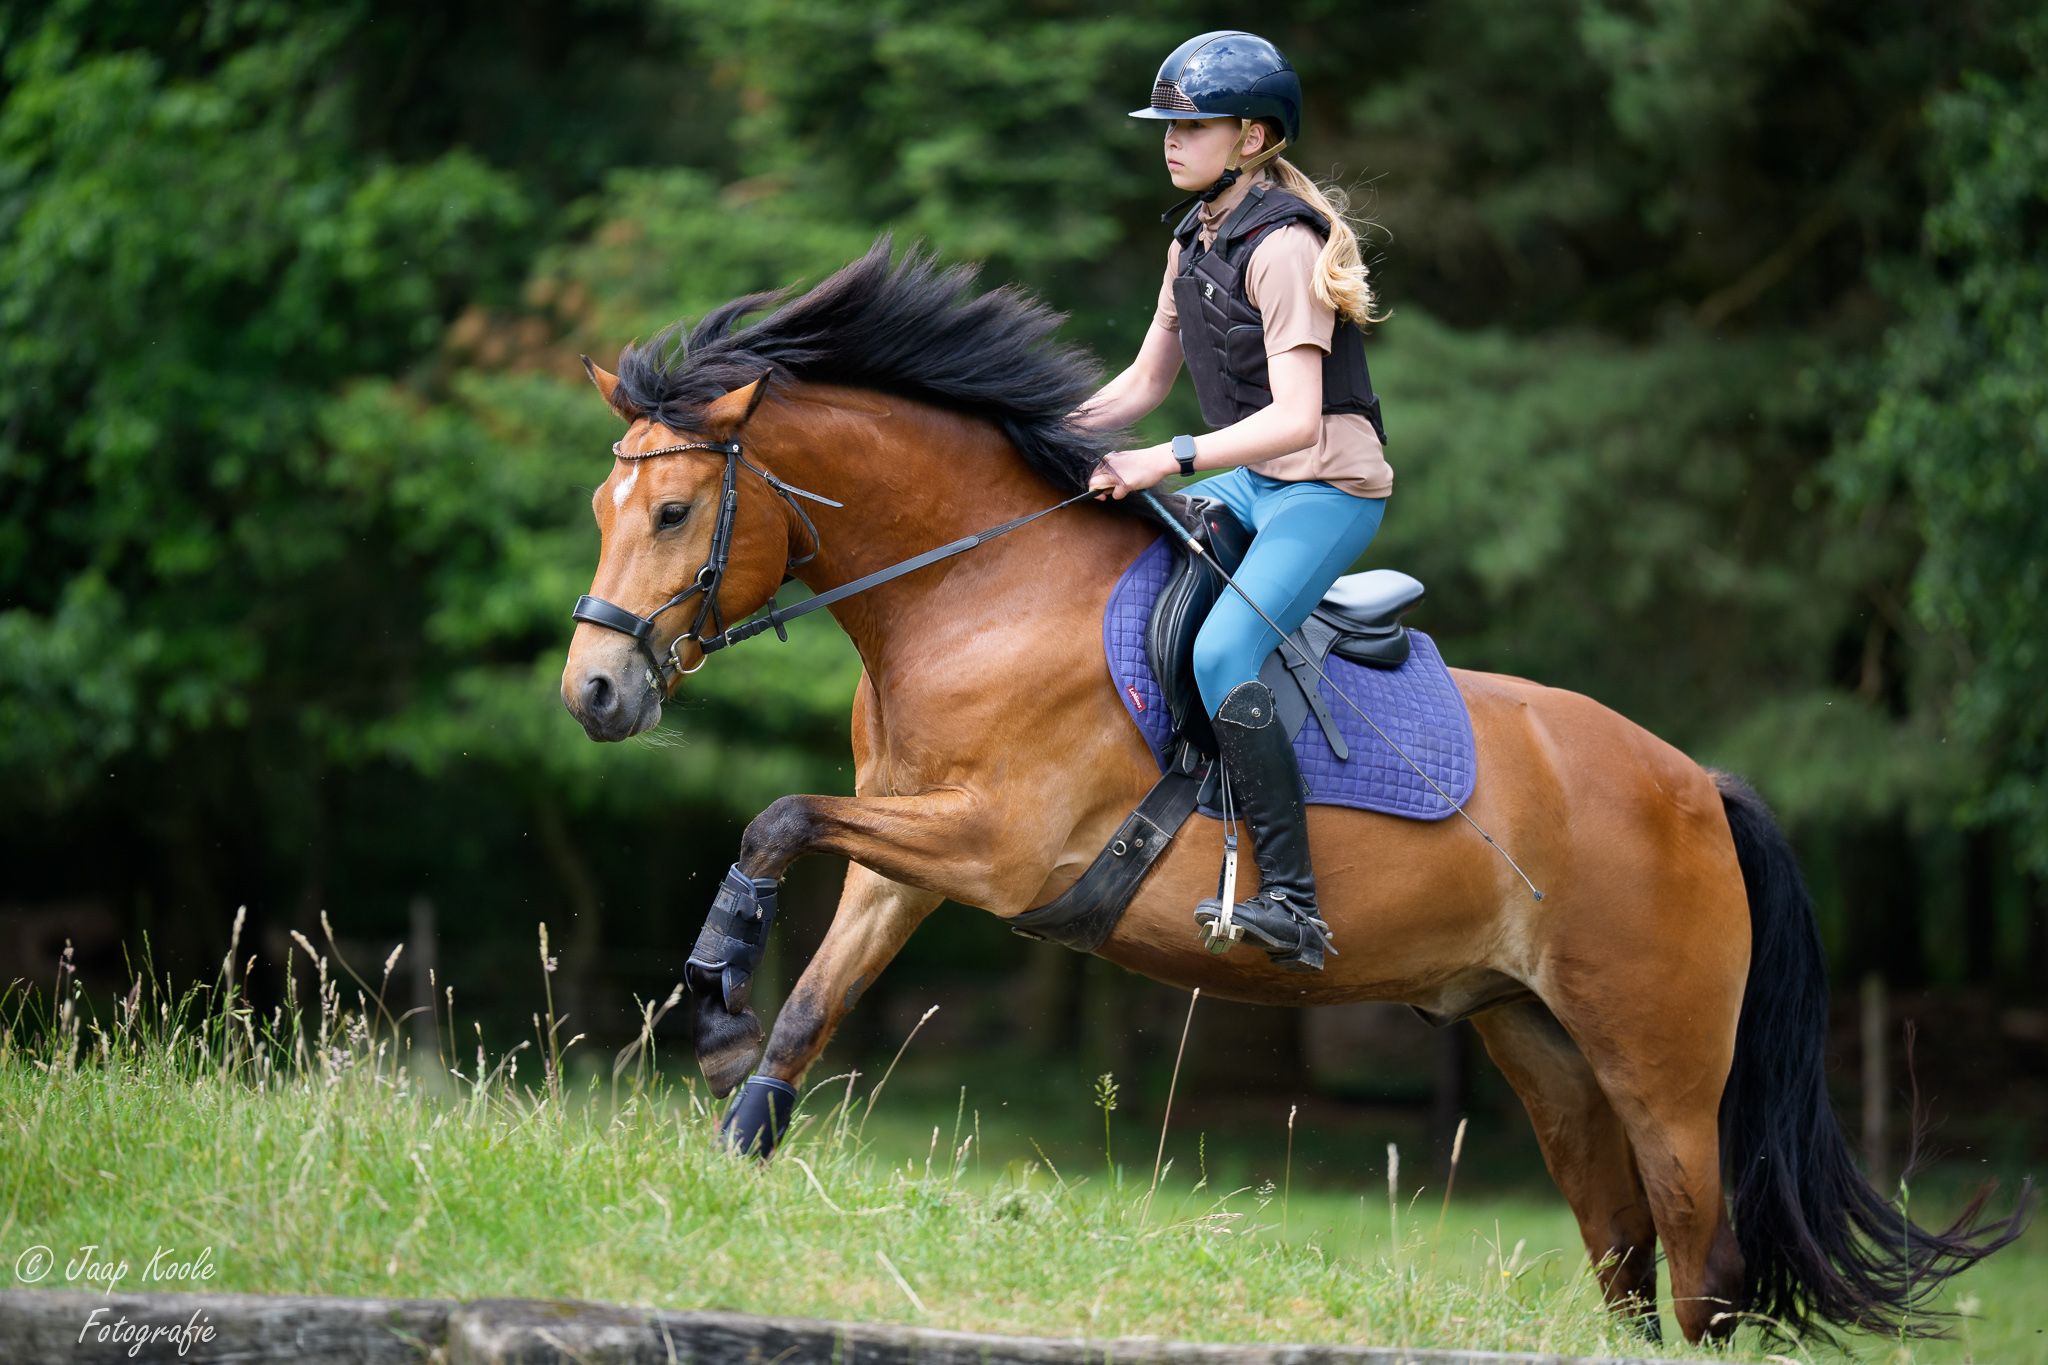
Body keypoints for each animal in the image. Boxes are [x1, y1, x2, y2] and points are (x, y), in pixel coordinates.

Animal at [558, 240, 2024, 1345]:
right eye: (598, 508)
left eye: (676, 514)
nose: (594, 695)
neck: (978, 589)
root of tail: (1698, 785)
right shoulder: (910, 857)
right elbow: (812, 994)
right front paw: (730, 1079)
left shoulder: (1000, 848)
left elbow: (776, 819)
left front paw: (713, 987)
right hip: (1538, 1040)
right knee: (1621, 1254)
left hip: (1661, 1068)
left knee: (1700, 1263)